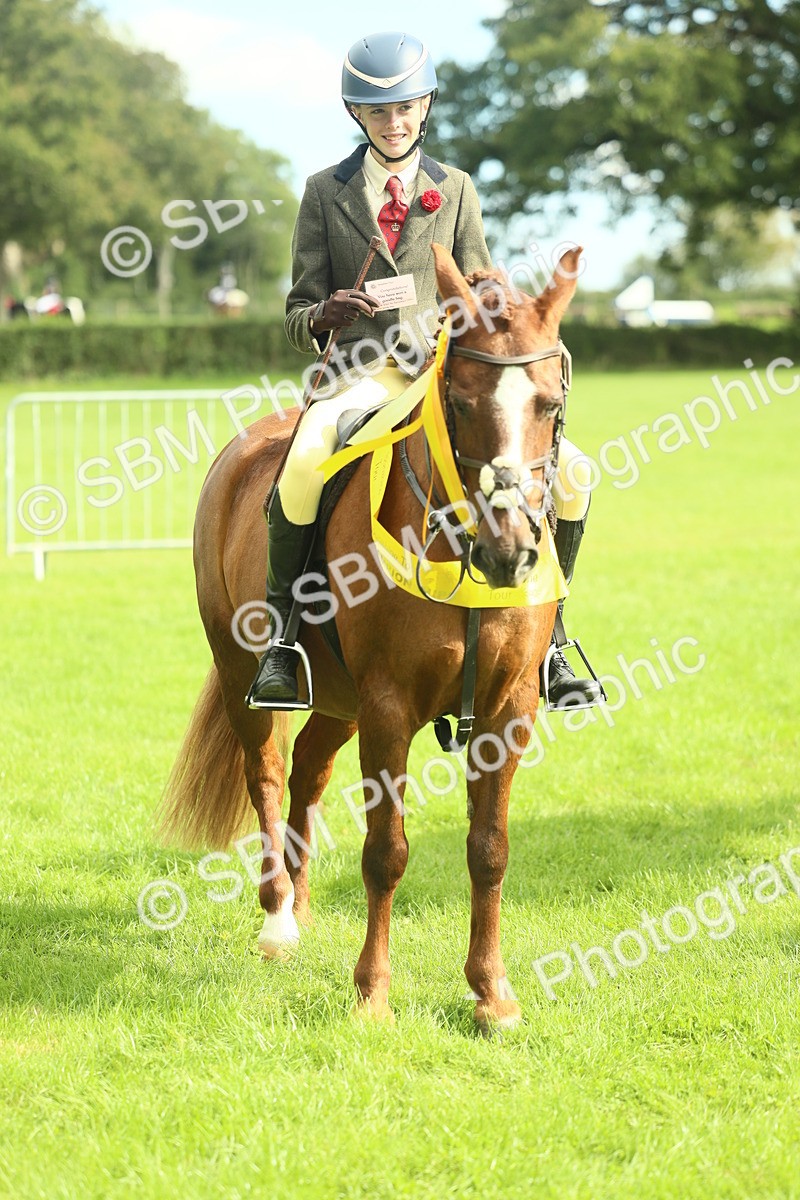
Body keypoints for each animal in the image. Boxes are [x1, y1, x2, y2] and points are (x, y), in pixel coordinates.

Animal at [160, 242, 582, 1031]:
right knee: (267, 772)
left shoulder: (507, 709)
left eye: (548, 403)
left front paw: (492, 994)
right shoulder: (389, 707)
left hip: (339, 700)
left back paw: (299, 904)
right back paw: (277, 919)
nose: (509, 553)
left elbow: (490, 848)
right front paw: (372, 994)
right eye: (461, 400)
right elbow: (386, 850)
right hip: (243, 672)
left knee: (308, 770)